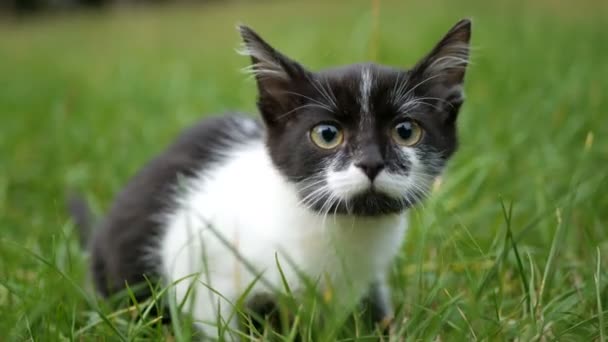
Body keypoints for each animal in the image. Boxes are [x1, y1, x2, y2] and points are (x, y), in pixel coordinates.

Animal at [71, 20, 470, 338]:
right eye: (327, 134)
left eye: (406, 131)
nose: (371, 163)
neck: (342, 229)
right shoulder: (196, 251)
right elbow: (215, 320)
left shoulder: (370, 278)